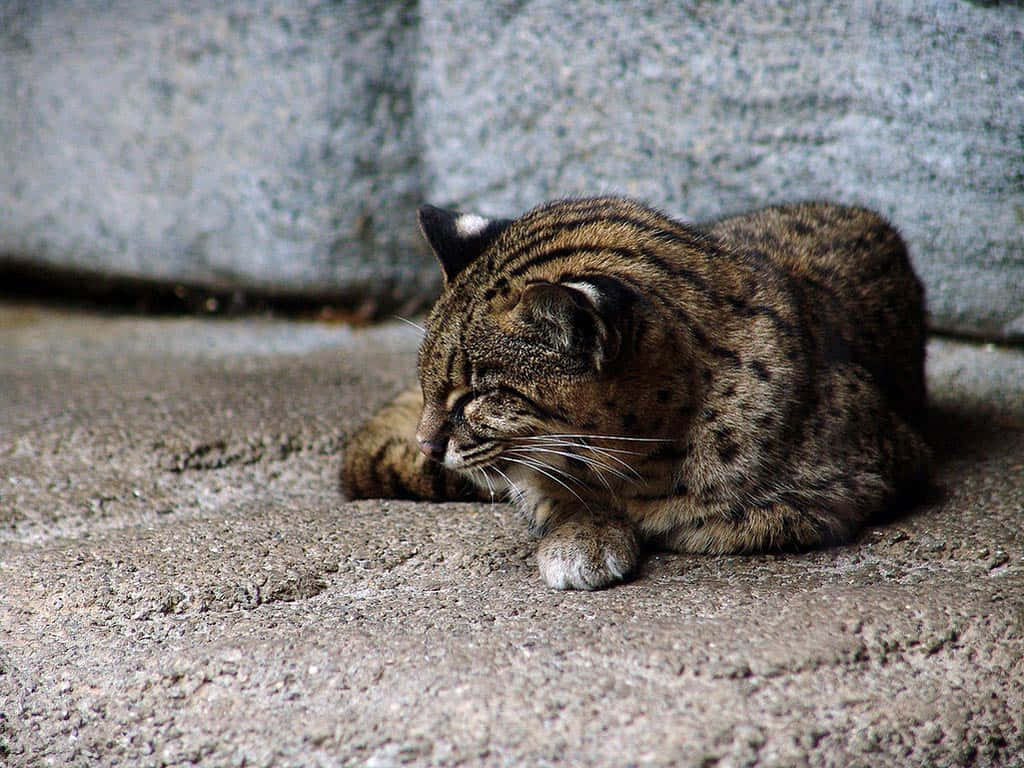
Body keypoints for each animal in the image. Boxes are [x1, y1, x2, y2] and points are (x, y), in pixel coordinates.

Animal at [339, 196, 933, 589]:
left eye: (475, 396)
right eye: (428, 385)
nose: (425, 445)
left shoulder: (872, 473)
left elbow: (722, 518)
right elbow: (549, 491)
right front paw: (584, 531)